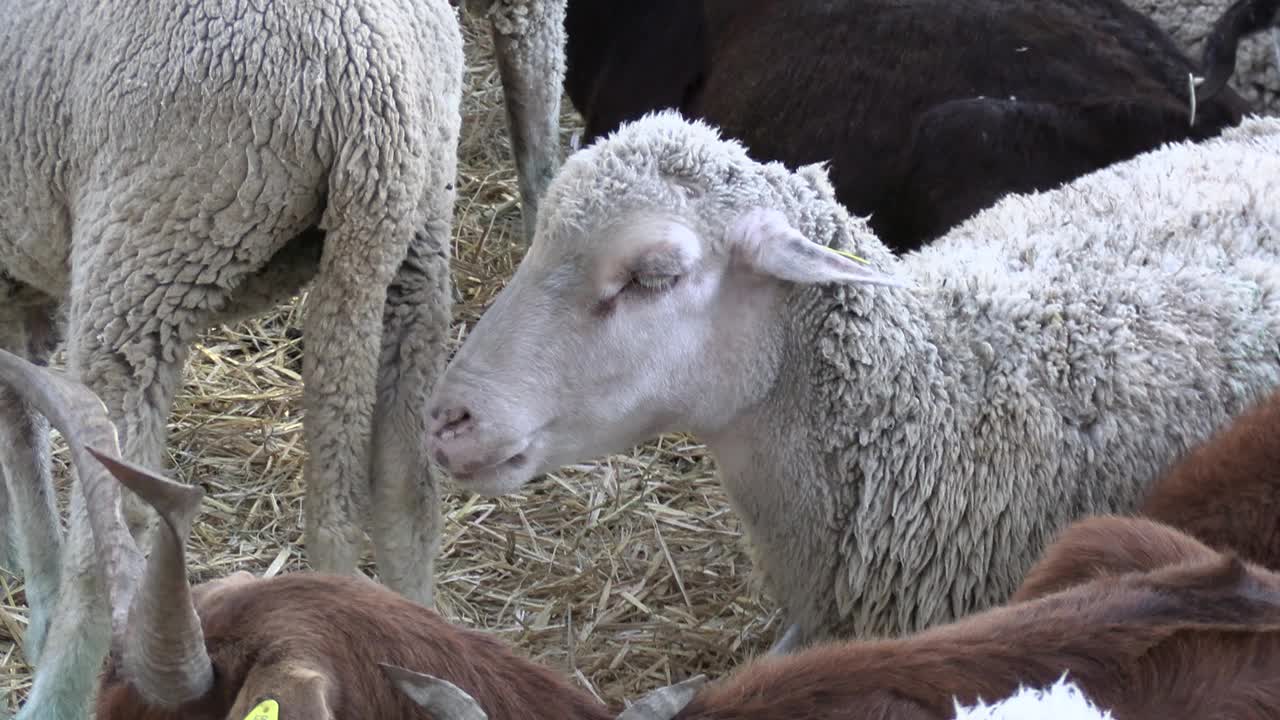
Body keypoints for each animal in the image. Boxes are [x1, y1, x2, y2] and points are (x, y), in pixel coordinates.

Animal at [0, 1, 563, 717]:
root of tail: (367, 95)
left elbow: (18, 424)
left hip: (153, 246)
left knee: (109, 524)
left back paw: (54, 689)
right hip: (411, 246)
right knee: (406, 488)